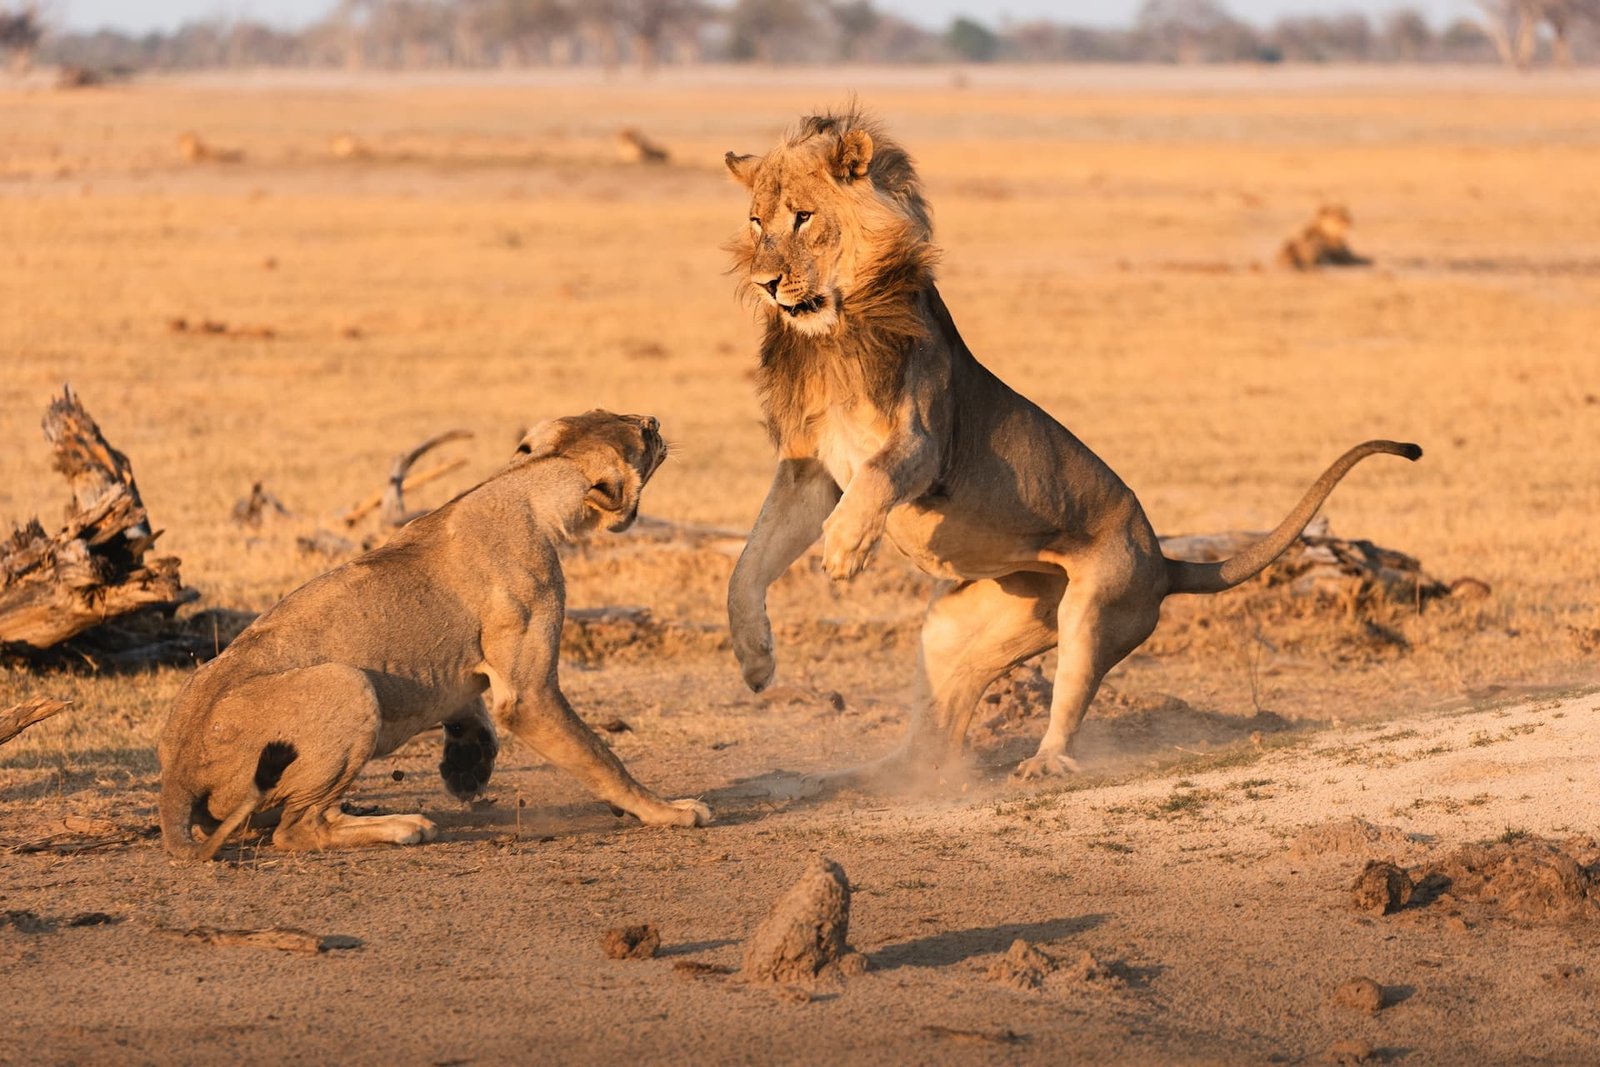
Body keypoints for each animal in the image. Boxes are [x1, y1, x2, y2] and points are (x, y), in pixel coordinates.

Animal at [158, 410, 711, 860]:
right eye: (641, 435)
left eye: (610, 411)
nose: (656, 420)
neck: (525, 486)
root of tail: (175, 779)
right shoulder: (529, 693)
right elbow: (602, 757)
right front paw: (669, 810)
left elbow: (470, 704)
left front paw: (468, 766)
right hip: (348, 684)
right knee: (295, 829)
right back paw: (403, 826)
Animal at [723, 108, 1420, 780]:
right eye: (756, 222)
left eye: (804, 218)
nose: (765, 283)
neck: (831, 337)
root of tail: (1165, 561)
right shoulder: (809, 471)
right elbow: (749, 563)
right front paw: (755, 661)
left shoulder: (924, 441)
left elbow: (877, 477)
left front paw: (844, 551)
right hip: (961, 626)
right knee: (929, 747)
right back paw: (837, 779)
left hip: (1093, 610)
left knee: (1066, 700)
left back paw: (1044, 763)